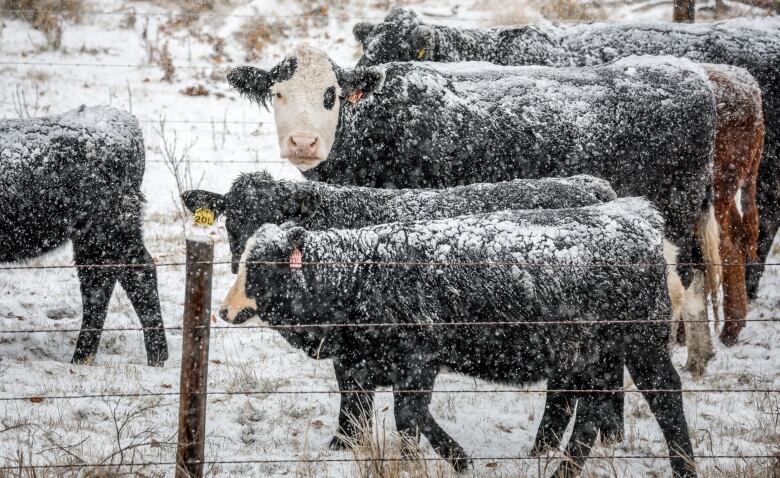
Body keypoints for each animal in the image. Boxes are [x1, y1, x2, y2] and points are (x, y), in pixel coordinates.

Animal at [221, 198, 700, 478]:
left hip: (639, 343)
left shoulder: (416, 360)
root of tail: (640, 219)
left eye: (260, 267)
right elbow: (395, 414)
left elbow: (409, 417)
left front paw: (431, 461)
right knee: (589, 412)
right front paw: (456, 458)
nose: (223, 310)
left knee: (664, 395)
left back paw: (684, 468)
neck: (360, 273)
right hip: (593, 356)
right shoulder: (377, 364)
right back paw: (557, 465)